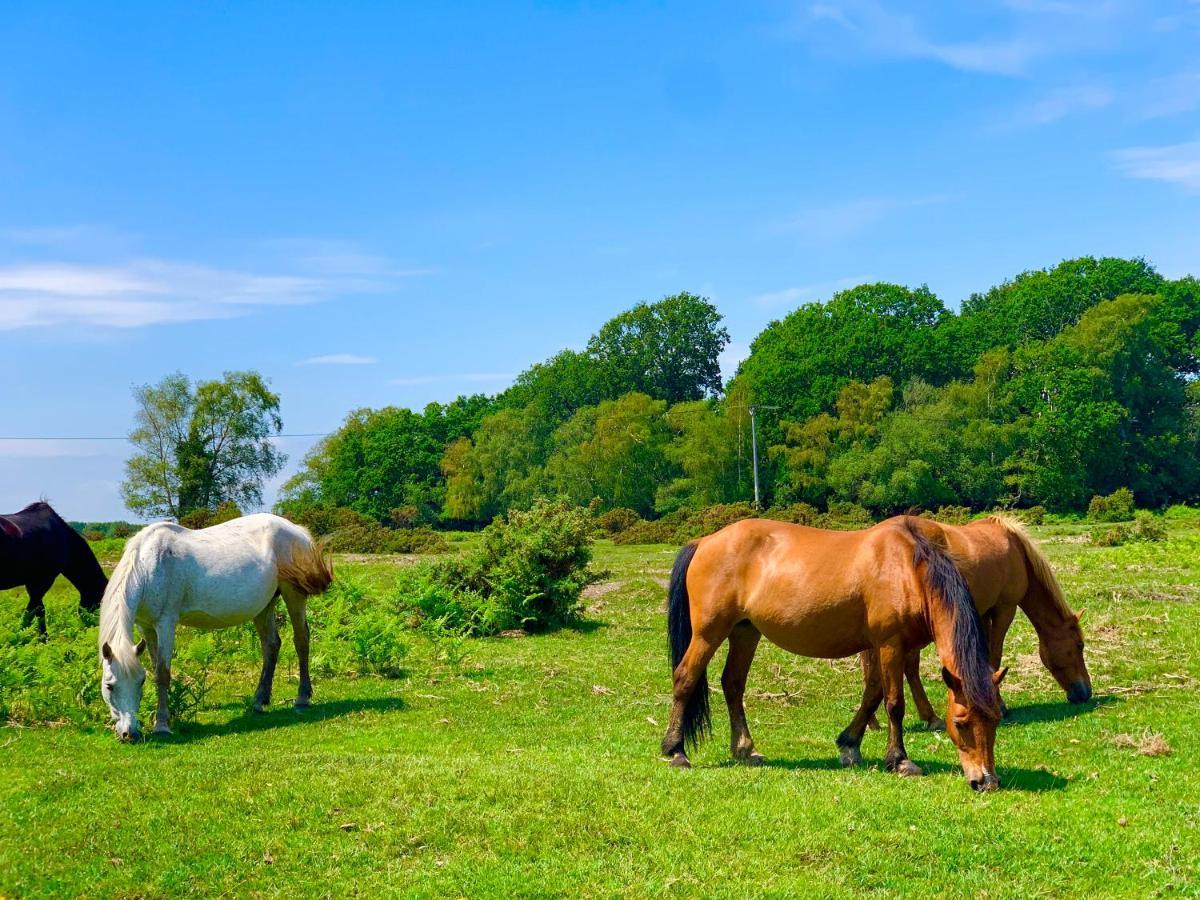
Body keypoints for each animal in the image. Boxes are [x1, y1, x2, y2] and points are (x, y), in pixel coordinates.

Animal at [0, 504, 106, 638]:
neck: (65, 540)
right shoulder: (42, 581)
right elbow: (35, 610)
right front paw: (28, 636)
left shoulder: (34, 582)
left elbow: (37, 610)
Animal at [97, 513, 331, 739]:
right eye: (109, 685)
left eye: (140, 682)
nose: (130, 733)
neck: (149, 566)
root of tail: (297, 530)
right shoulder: (146, 626)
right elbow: (157, 669)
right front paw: (167, 715)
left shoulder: (166, 624)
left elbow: (163, 672)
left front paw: (162, 725)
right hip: (264, 605)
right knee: (271, 645)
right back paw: (259, 701)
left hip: (293, 594)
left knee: (301, 640)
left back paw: (302, 698)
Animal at [662, 518, 1008, 792]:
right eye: (961, 722)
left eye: (995, 719)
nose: (986, 781)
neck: (908, 569)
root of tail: (705, 541)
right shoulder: (890, 645)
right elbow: (894, 703)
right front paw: (900, 760)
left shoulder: (886, 647)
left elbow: (872, 694)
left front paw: (849, 745)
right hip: (708, 633)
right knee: (685, 678)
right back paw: (676, 751)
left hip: (745, 631)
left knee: (733, 684)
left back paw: (745, 749)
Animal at [854, 518, 1089, 734]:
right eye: (1079, 645)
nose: (1085, 692)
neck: (1016, 550)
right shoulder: (1005, 609)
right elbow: (995, 656)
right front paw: (1000, 705)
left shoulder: (983, 613)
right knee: (908, 666)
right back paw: (928, 717)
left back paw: (875, 721)